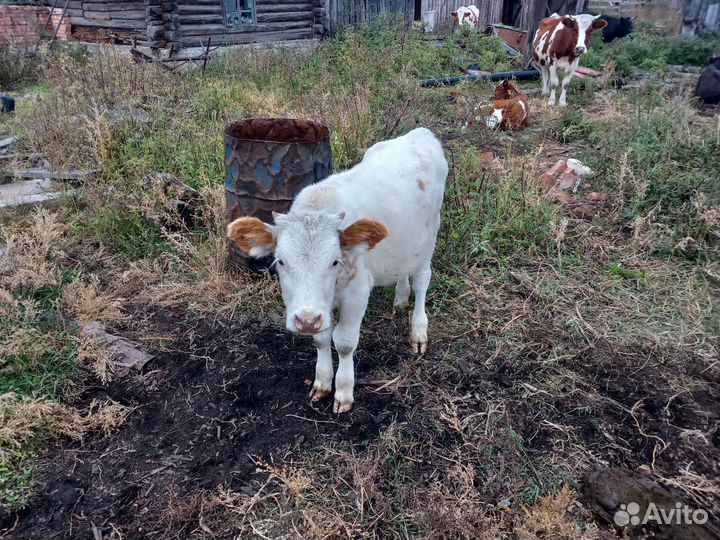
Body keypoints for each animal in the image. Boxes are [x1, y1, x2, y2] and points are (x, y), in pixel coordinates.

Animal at [227, 128, 448, 414]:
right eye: (281, 261)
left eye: (335, 261)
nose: (306, 320)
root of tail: (420, 133)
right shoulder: (319, 308)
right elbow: (321, 338)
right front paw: (322, 382)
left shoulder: (357, 292)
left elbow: (343, 342)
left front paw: (343, 391)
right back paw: (400, 299)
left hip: (429, 237)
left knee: (422, 281)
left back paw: (418, 330)